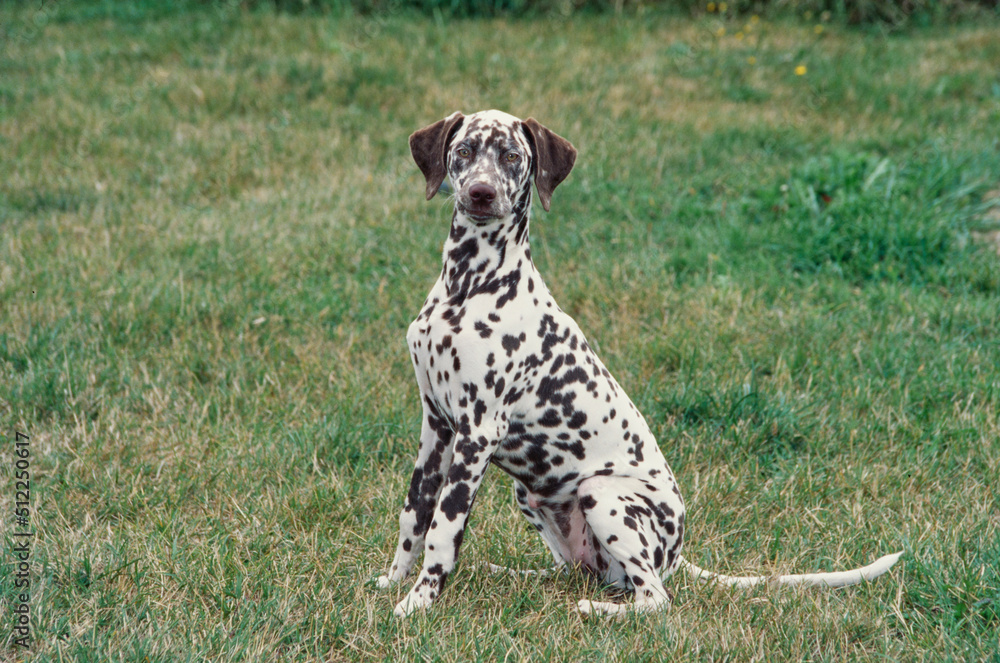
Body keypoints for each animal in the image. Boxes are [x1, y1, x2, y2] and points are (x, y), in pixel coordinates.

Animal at [376, 110, 908, 616]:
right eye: (464, 150)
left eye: (512, 157)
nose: (481, 194)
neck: (469, 286)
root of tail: (674, 556)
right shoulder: (436, 427)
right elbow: (414, 514)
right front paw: (393, 582)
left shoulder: (478, 433)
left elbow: (443, 530)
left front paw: (418, 604)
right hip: (530, 496)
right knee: (580, 573)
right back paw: (513, 574)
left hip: (603, 494)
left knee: (653, 600)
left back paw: (596, 610)